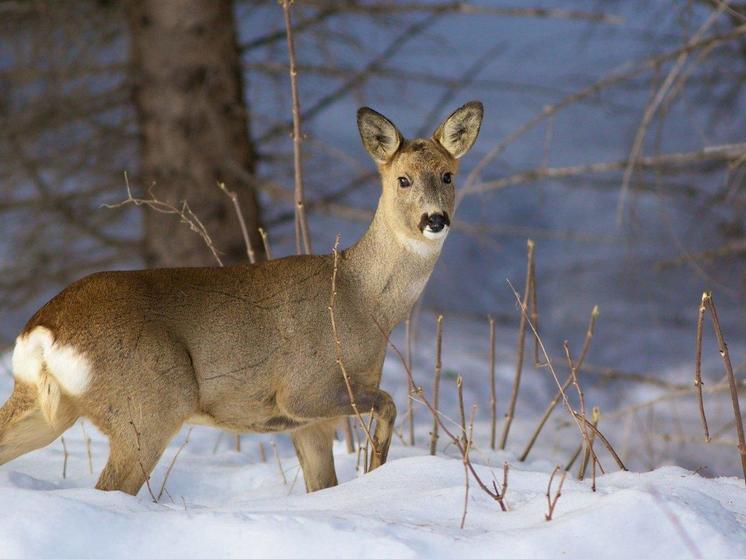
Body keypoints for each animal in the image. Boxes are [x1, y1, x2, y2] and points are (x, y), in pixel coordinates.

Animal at [0, 100, 482, 494]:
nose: (435, 219)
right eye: (403, 179)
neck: (361, 300)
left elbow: (322, 485)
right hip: (151, 401)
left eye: (448, 175)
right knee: (112, 486)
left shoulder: (310, 424)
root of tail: (43, 330)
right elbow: (388, 402)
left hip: (45, 406)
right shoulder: (303, 390)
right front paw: (377, 466)